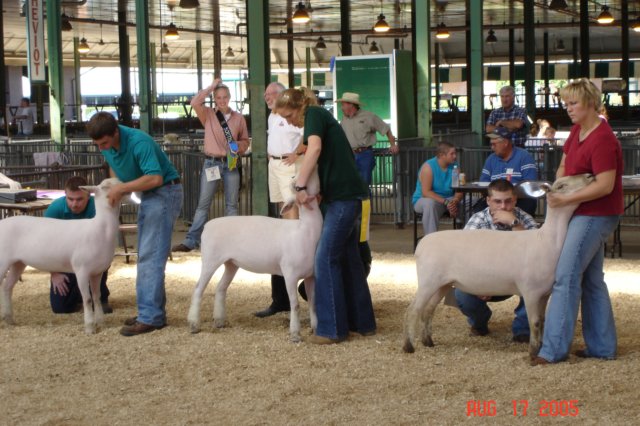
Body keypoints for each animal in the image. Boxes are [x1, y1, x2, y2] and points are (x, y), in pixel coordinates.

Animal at [0, 178, 122, 334]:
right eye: (106, 187)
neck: (101, 228)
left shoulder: (97, 272)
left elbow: (96, 297)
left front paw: (101, 322)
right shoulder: (81, 270)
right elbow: (88, 299)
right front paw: (89, 328)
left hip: (18, 262)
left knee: (7, 287)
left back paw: (9, 319)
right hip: (3, 260)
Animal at [188, 167, 322, 342]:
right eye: (295, 183)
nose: (311, 167)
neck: (305, 230)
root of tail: (207, 225)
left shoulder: (310, 275)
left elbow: (313, 302)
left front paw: (315, 328)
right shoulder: (290, 273)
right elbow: (296, 304)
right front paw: (295, 334)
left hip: (231, 263)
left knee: (220, 288)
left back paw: (219, 321)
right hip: (210, 259)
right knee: (198, 289)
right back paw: (194, 325)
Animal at [404, 174, 596, 360]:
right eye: (562, 185)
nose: (590, 176)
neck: (546, 240)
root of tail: (421, 246)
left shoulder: (544, 293)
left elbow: (542, 321)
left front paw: (539, 347)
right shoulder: (531, 291)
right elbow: (534, 322)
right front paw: (533, 353)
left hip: (442, 284)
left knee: (428, 310)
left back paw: (428, 341)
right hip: (428, 281)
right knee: (413, 310)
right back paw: (408, 347)